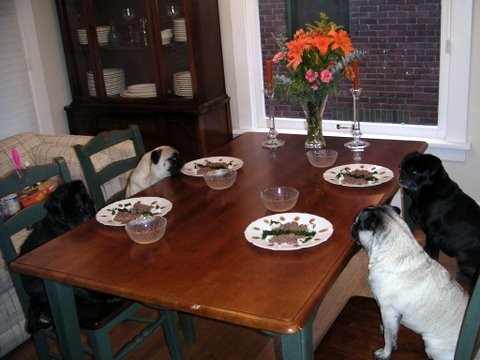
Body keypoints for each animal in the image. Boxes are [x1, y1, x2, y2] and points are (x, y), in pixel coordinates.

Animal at [20, 181, 122, 334]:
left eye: (80, 208)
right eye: (64, 217)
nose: (75, 222)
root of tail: (32, 296)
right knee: (85, 294)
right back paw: (107, 298)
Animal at [352, 205, 468, 360]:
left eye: (357, 222)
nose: (352, 225)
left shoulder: (388, 312)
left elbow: (388, 338)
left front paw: (385, 353)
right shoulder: (392, 316)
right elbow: (392, 331)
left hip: (432, 346)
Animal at [398, 150, 480, 282]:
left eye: (414, 172)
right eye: (401, 167)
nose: (401, 174)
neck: (426, 191)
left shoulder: (434, 234)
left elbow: (433, 252)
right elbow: (428, 247)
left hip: (463, 258)